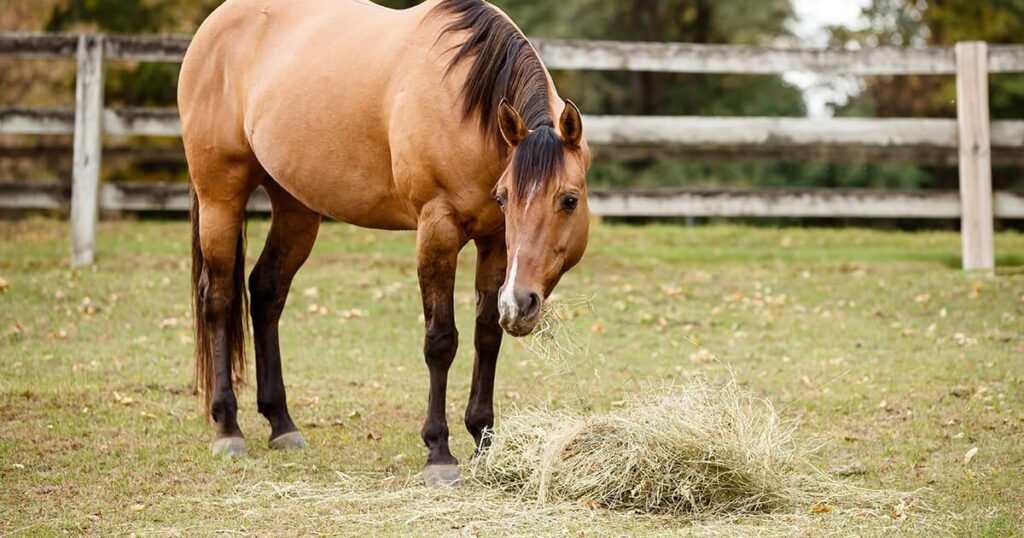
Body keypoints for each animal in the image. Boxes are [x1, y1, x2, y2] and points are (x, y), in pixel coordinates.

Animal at [178, 0, 591, 484]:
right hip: (219, 197)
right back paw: (228, 428)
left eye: (569, 199)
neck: (466, 106)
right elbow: (441, 341)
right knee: (219, 299)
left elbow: (487, 335)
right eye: (506, 197)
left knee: (265, 293)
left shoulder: (495, 243)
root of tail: (214, 25)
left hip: (295, 208)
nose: (521, 304)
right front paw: (439, 452)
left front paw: (484, 441)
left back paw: (282, 424)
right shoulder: (437, 230)